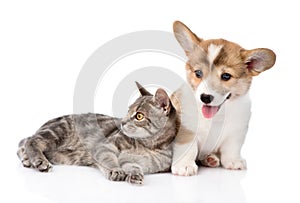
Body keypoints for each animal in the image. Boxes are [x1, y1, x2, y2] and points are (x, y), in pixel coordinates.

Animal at [17, 83, 178, 186]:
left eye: (139, 116)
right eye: (128, 111)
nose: (122, 122)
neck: (149, 145)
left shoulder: (139, 162)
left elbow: (133, 166)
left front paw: (135, 175)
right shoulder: (105, 145)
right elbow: (108, 158)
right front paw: (116, 170)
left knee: (24, 142)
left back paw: (27, 159)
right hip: (57, 131)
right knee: (32, 140)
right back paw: (39, 161)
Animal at [171, 21, 276, 176]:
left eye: (226, 76)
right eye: (198, 73)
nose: (205, 97)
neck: (217, 117)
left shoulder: (236, 132)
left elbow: (231, 148)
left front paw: (233, 161)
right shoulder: (187, 128)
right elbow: (188, 146)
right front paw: (184, 165)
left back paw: (211, 159)